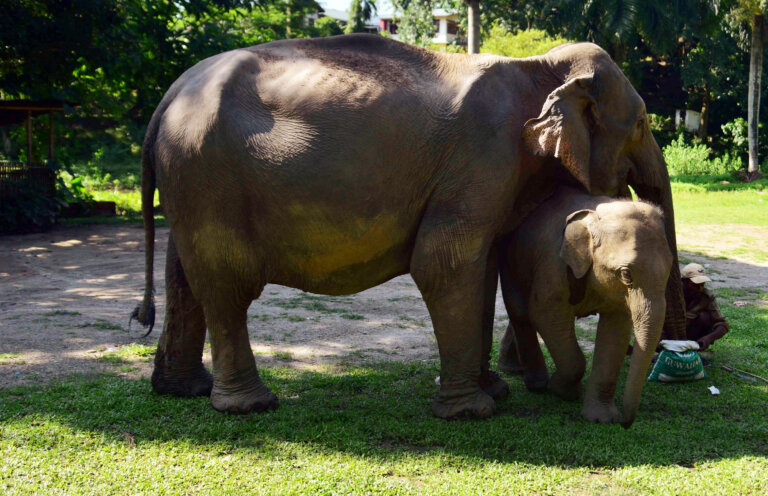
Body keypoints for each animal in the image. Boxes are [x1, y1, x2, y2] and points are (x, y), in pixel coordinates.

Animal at [498, 186, 672, 426]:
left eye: (671, 269)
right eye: (626, 274)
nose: (625, 424)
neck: (594, 215)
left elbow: (616, 330)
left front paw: (601, 419)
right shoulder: (553, 264)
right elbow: (544, 315)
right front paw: (564, 391)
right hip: (510, 261)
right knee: (520, 313)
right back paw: (538, 385)